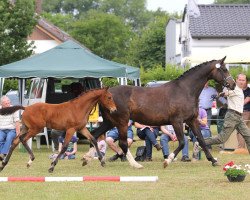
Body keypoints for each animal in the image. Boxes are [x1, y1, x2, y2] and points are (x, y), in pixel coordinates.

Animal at [92, 57, 234, 168]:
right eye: (224, 69)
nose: (232, 84)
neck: (185, 90)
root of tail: (105, 94)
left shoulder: (192, 120)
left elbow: (202, 140)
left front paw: (213, 160)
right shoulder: (177, 121)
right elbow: (182, 142)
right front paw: (167, 161)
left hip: (109, 122)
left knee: (94, 135)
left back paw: (96, 159)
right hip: (122, 121)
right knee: (122, 143)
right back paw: (135, 164)